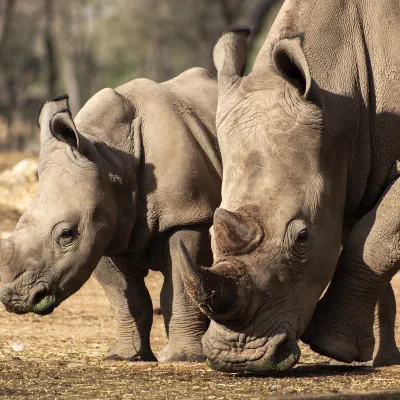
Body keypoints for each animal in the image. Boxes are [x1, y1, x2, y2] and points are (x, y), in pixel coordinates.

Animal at [0, 68, 222, 362]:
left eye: (66, 234)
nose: (15, 300)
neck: (112, 161)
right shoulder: (103, 229)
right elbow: (125, 297)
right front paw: (125, 356)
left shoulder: (188, 214)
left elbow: (180, 288)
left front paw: (182, 358)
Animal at [180, 0, 400, 374]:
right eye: (210, 233)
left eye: (302, 238)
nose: (238, 358)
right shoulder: (349, 171)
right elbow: (366, 241)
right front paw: (376, 358)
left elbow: (374, 243)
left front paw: (331, 346)